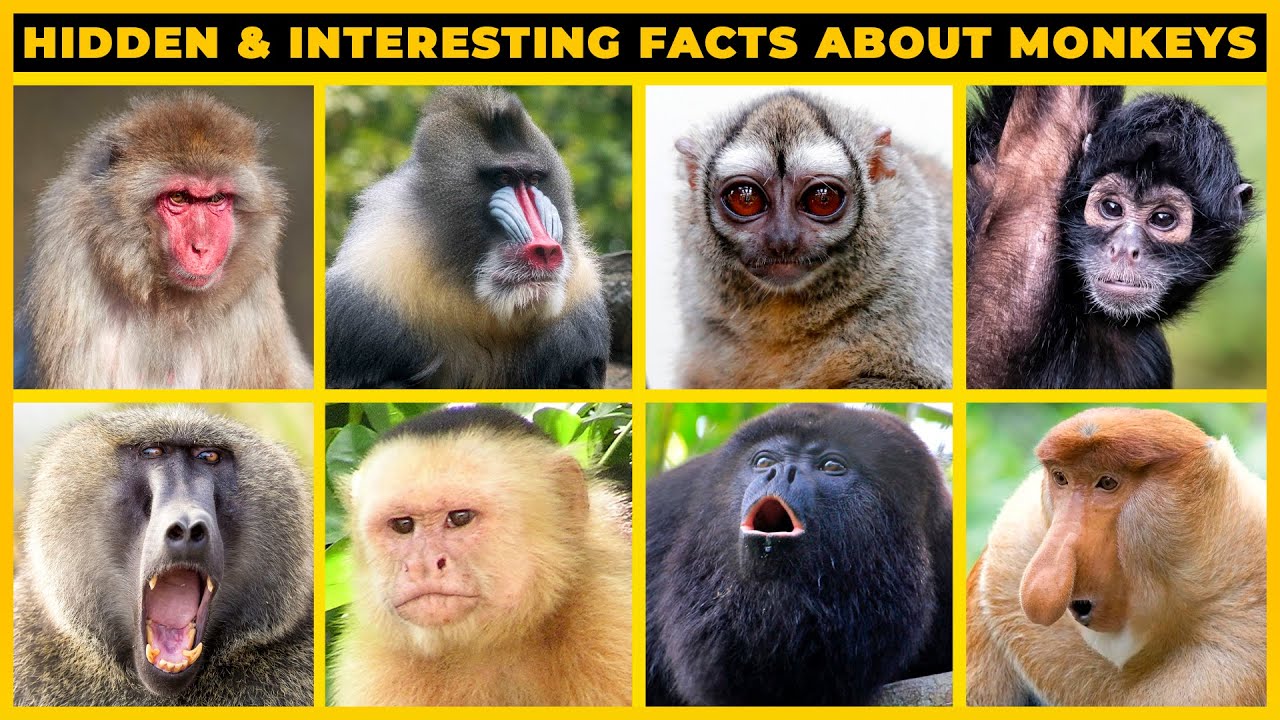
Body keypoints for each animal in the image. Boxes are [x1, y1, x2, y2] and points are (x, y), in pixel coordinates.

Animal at [329, 406, 632, 706]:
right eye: (403, 525)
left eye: (460, 517)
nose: (422, 565)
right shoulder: (378, 670)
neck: (494, 646)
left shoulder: (610, 618)